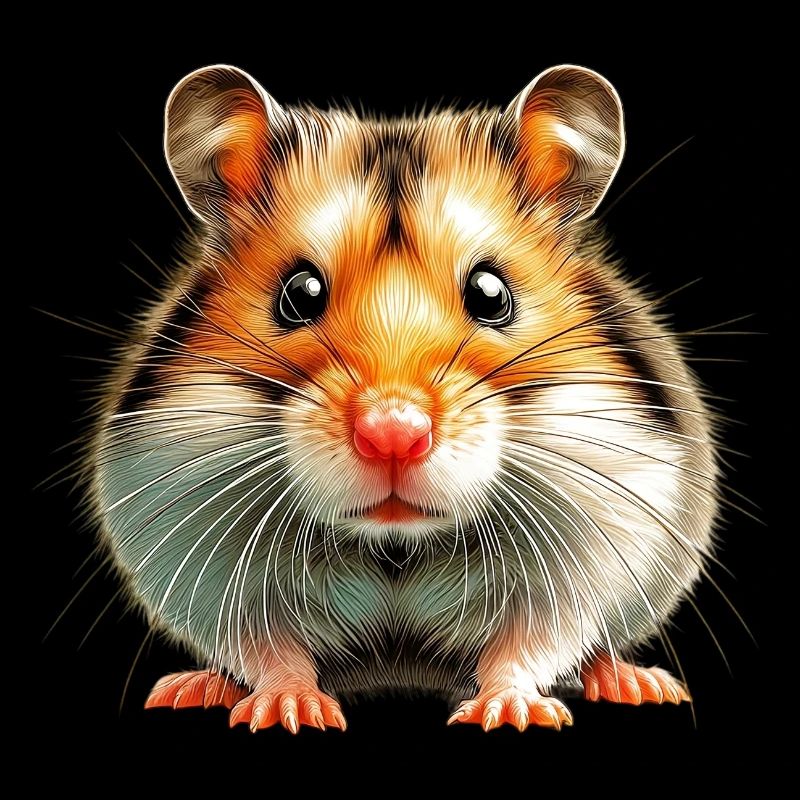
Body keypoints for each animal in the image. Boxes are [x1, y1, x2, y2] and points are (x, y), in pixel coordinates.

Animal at [92, 64, 715, 732]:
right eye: (299, 293)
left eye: (492, 293)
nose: (393, 435)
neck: (398, 544)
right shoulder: (194, 537)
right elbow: (266, 644)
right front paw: (289, 711)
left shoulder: (599, 532)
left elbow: (532, 639)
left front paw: (511, 712)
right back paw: (190, 687)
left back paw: (641, 683)